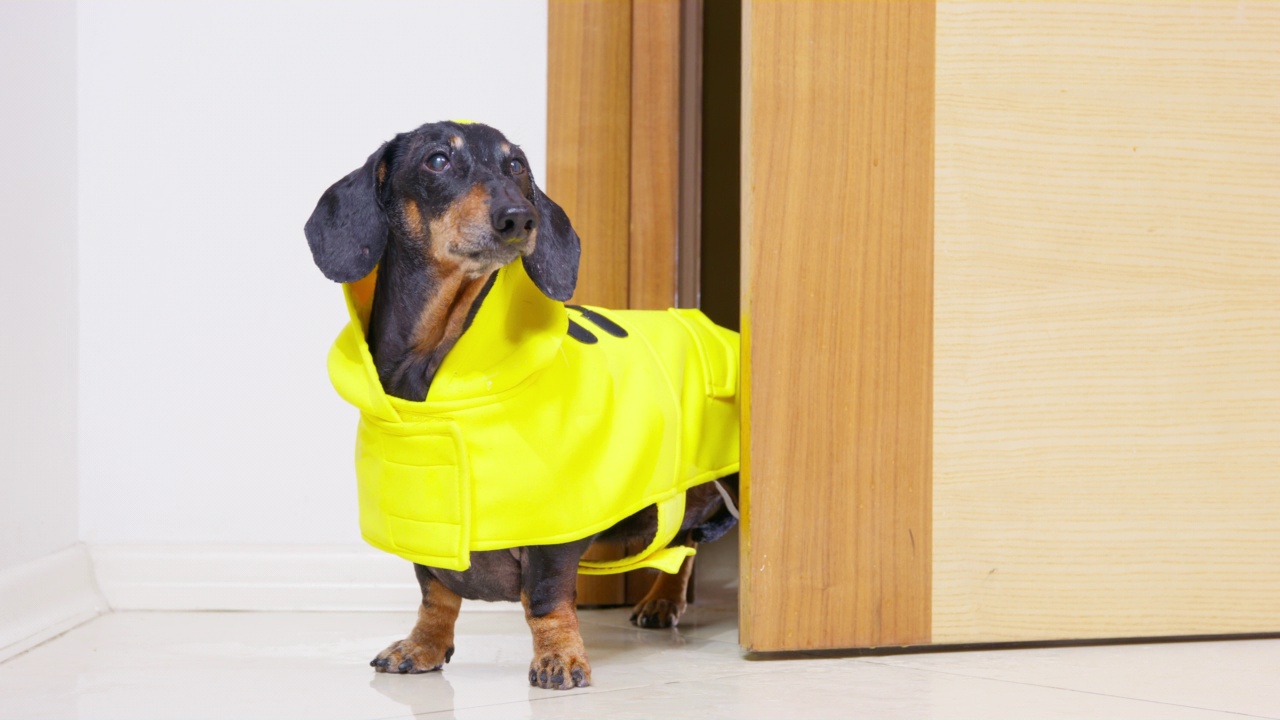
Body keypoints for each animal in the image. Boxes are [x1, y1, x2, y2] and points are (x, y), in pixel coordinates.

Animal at [304, 120, 742, 686]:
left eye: (516, 166)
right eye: (437, 160)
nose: (519, 218)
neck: (435, 366)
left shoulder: (552, 531)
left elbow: (546, 600)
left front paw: (560, 656)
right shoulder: (425, 524)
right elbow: (435, 594)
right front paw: (423, 646)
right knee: (684, 543)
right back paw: (663, 600)